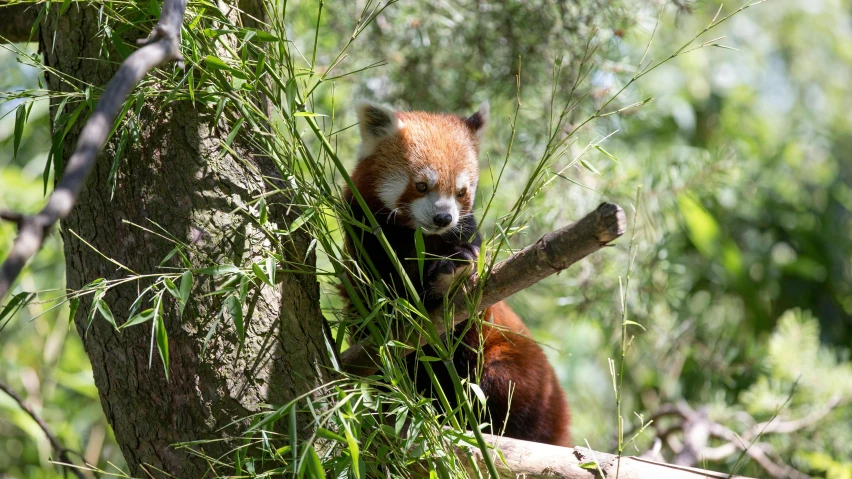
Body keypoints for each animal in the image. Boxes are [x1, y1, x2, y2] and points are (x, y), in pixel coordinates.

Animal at [342, 99, 572, 448]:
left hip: (518, 369)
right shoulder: (364, 242)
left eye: (461, 191)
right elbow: (376, 295)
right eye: (422, 185)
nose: (443, 218)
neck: (418, 238)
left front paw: (446, 273)